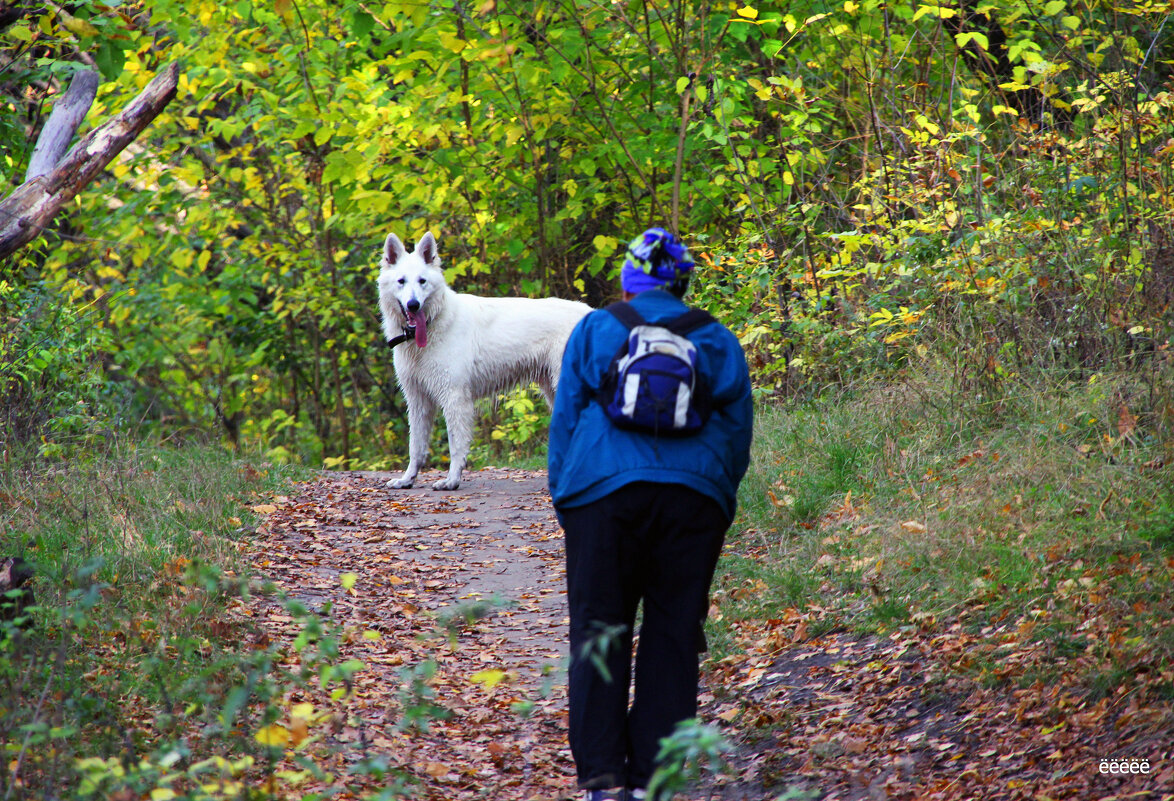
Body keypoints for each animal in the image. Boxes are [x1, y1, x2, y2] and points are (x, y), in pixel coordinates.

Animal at [380, 231, 591, 490]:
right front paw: (407, 479)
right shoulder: (418, 400)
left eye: (422, 281)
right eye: (401, 281)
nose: (413, 305)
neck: (434, 322)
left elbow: (456, 445)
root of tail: (593, 313)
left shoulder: (455, 398)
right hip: (554, 390)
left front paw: (451, 480)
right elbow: (415, 447)